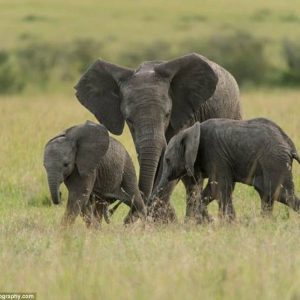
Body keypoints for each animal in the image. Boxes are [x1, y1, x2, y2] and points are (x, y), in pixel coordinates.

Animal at [157, 118, 300, 221]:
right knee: (267, 195)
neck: (191, 131)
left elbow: (218, 189)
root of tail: (290, 146)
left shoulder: (215, 154)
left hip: (275, 163)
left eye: (167, 160)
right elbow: (215, 190)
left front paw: (228, 224)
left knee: (283, 194)